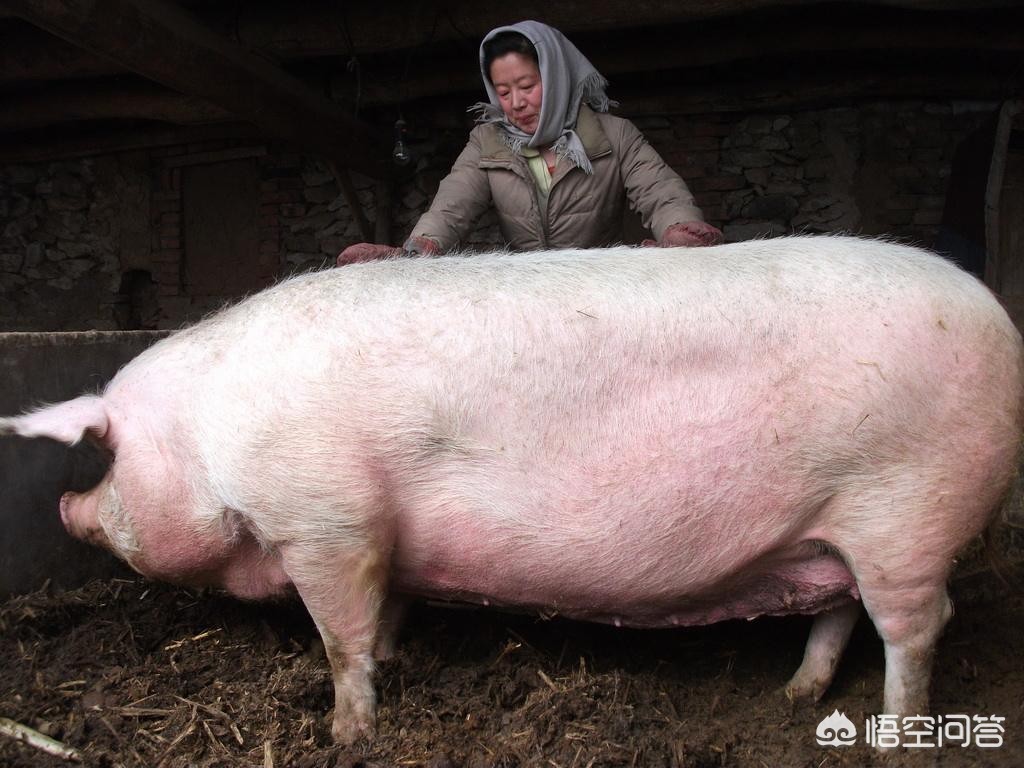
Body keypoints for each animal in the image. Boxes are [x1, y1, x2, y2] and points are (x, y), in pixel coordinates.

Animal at [2, 236, 1024, 745]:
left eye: (101, 455)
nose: (58, 507)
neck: (211, 436)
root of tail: (996, 317)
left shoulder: (327, 521)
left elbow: (338, 637)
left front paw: (348, 732)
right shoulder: (383, 538)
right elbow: (386, 611)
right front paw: (398, 660)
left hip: (907, 510)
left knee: (916, 626)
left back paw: (891, 737)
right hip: (834, 527)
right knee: (838, 611)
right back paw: (795, 696)